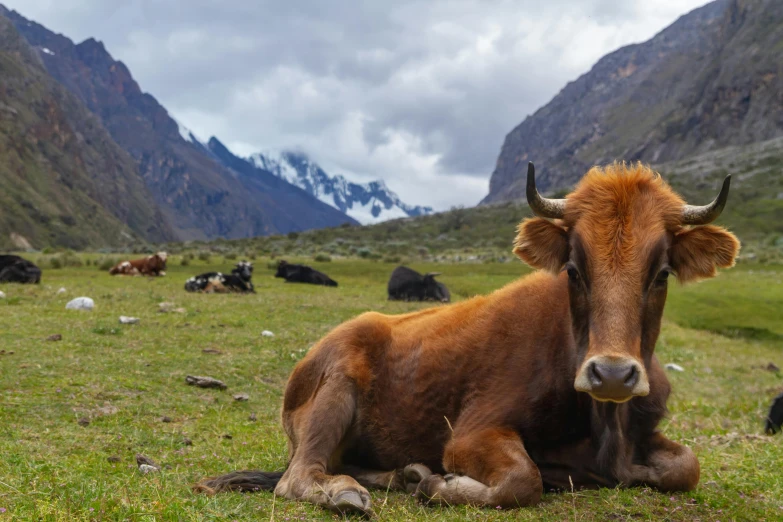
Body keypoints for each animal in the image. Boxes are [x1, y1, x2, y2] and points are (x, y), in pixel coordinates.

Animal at [196, 165, 740, 512]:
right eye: (573, 269)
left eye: (662, 273)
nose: (610, 374)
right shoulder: (471, 432)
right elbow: (522, 480)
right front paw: (442, 483)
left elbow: (687, 466)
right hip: (335, 389)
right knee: (298, 476)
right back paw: (352, 492)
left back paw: (402, 475)